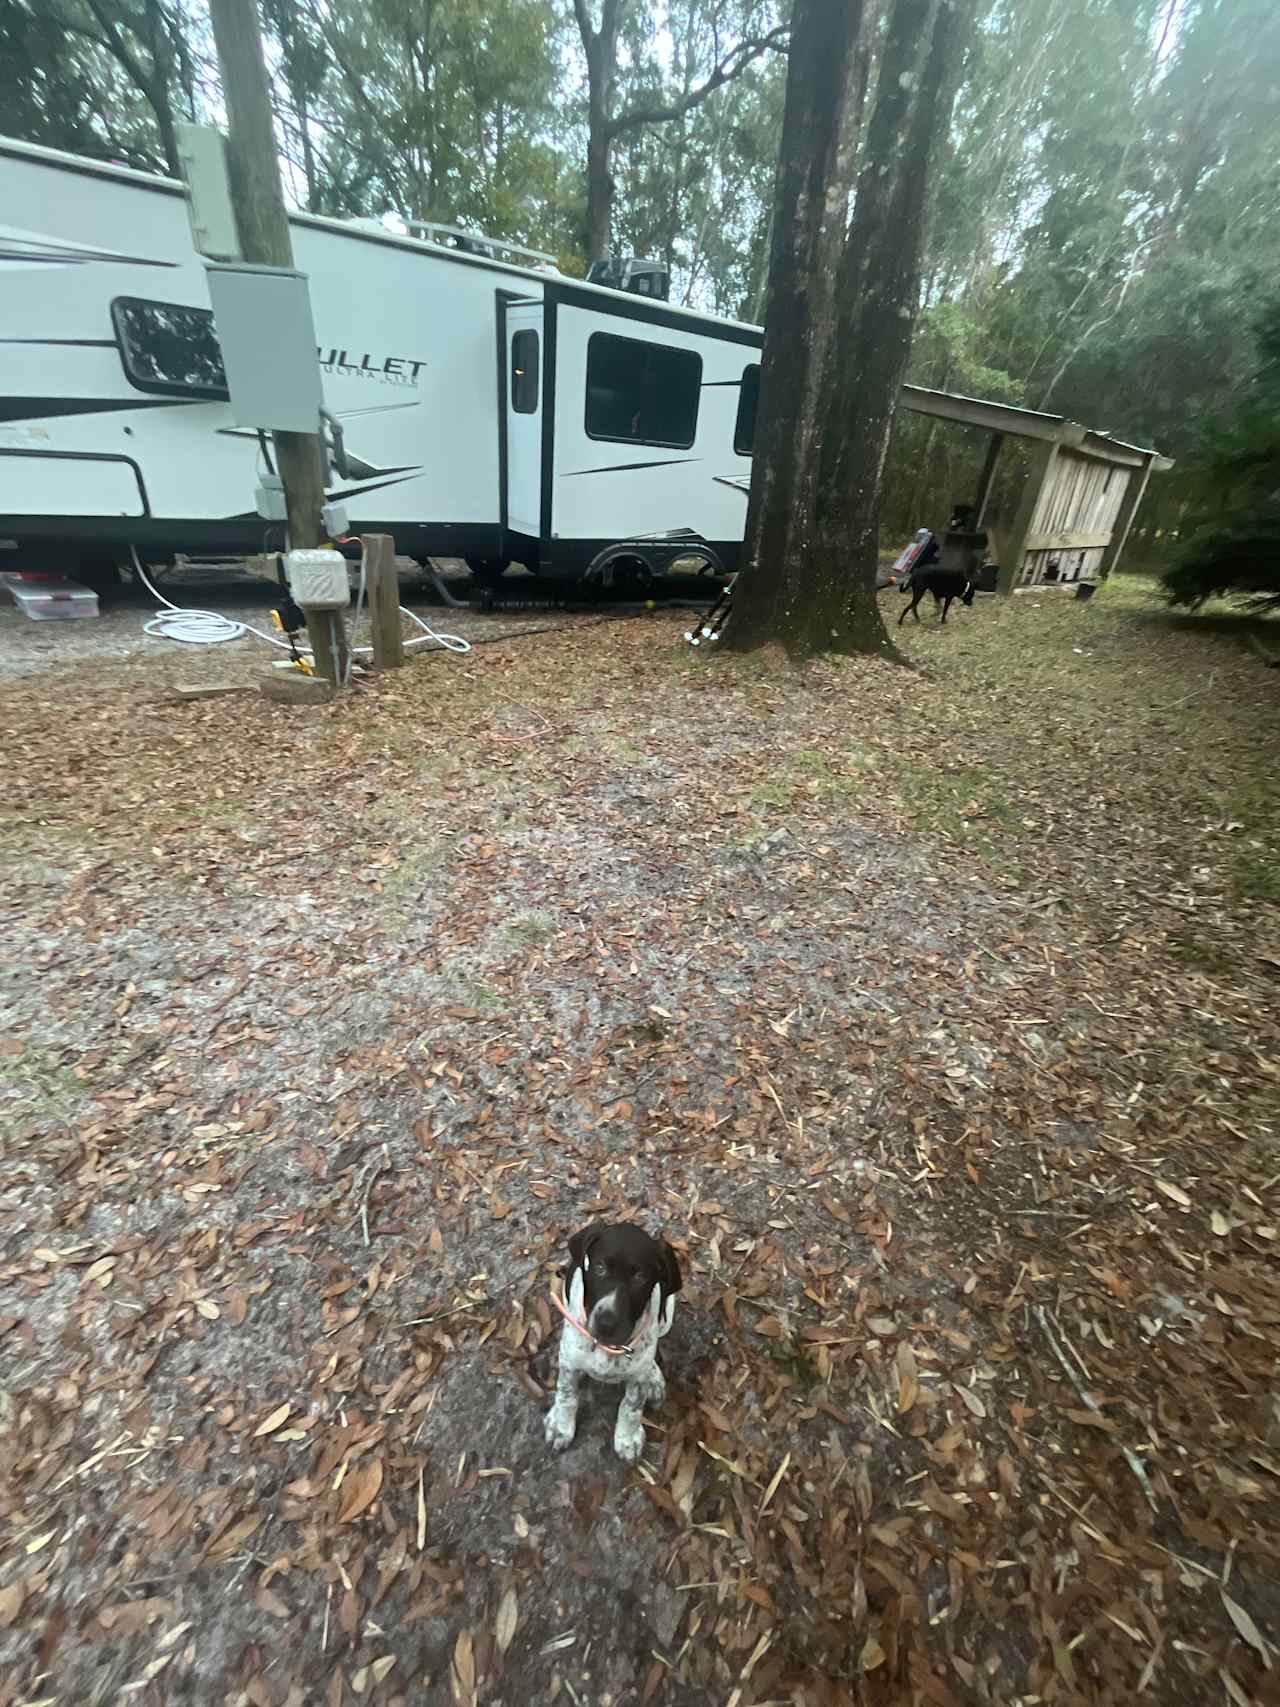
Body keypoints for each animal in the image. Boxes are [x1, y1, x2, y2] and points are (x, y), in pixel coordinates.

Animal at [542, 1222, 682, 1461]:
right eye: (599, 1267)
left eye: (640, 1276)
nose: (606, 1323)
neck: (609, 1347)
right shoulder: (569, 1362)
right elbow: (566, 1394)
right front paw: (561, 1426)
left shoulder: (637, 1379)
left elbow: (632, 1406)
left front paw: (627, 1438)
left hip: (668, 1313)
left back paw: (654, 1378)